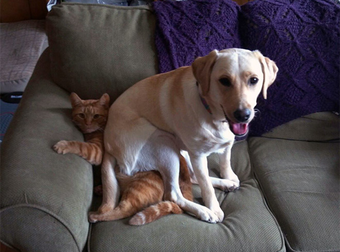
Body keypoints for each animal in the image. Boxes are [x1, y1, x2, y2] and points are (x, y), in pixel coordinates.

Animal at [52, 92, 191, 224]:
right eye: (81, 115)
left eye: (96, 116)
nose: (88, 123)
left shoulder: (97, 151)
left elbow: (78, 145)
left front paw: (62, 145)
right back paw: (99, 190)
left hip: (137, 188)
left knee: (123, 210)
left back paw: (95, 215)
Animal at [89, 48, 278, 223]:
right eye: (224, 81)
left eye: (254, 80)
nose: (243, 115)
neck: (212, 114)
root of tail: (108, 146)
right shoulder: (198, 156)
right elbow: (206, 187)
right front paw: (214, 208)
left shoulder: (225, 145)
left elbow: (225, 161)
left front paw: (228, 176)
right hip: (164, 143)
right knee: (173, 194)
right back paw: (204, 211)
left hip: (181, 150)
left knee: (192, 177)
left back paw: (226, 184)